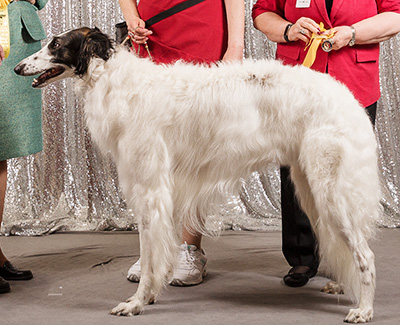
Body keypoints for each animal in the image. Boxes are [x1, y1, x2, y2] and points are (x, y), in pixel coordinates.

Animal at [14, 26, 382, 320]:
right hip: (310, 187)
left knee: (365, 255)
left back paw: (364, 309)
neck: (118, 81)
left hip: (331, 193)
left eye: (56, 45)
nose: (17, 67)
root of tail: (347, 98)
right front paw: (147, 297)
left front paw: (136, 302)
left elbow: (150, 255)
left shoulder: (150, 189)